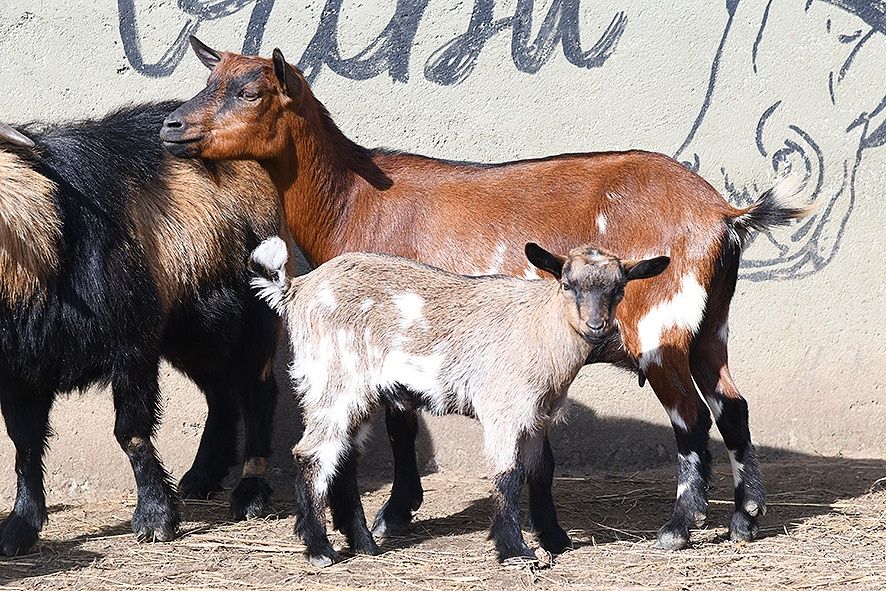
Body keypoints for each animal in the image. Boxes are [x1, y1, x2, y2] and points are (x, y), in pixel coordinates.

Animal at [0, 103, 279, 555]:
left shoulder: (130, 346)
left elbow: (130, 431)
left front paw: (154, 518)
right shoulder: (19, 369)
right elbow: (23, 443)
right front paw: (20, 528)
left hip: (250, 316)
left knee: (257, 390)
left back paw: (250, 492)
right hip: (192, 332)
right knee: (221, 393)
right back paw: (202, 476)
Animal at [249, 235, 670, 565]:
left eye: (619, 288)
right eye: (567, 284)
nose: (596, 326)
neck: (539, 328)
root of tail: (297, 289)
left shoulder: (537, 415)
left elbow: (542, 471)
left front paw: (555, 540)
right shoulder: (504, 410)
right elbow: (508, 475)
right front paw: (514, 550)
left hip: (360, 394)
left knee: (343, 458)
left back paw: (364, 544)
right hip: (332, 381)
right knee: (311, 453)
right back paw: (320, 549)